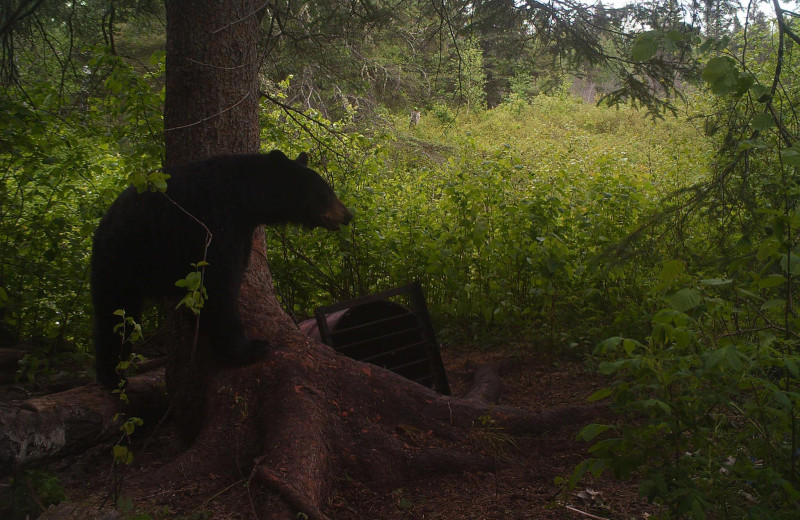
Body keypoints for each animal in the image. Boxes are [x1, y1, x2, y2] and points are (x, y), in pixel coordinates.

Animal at [89, 149, 352, 386]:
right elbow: (219, 283)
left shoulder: (242, 233)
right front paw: (249, 349)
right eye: (324, 192)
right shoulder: (215, 222)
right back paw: (111, 376)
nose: (347, 215)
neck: (245, 200)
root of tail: (105, 222)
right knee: (113, 312)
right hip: (121, 260)